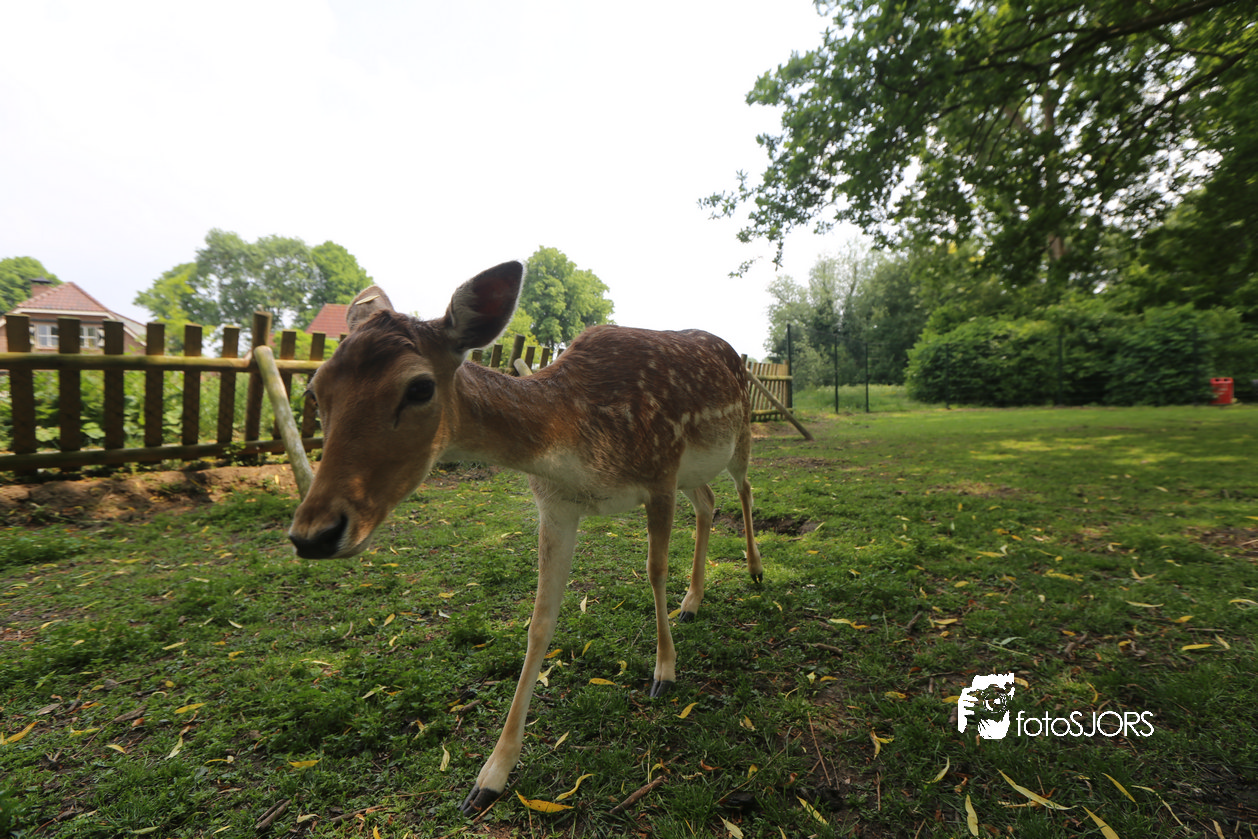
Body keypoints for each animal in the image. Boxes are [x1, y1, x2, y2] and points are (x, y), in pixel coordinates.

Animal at [287, 260, 763, 815]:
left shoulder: (660, 474)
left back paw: (755, 572)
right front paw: (489, 777)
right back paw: (694, 601)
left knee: (745, 490)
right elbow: (539, 621)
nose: (313, 533)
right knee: (708, 503)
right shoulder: (555, 505)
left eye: (419, 387)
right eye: (315, 391)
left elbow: (653, 571)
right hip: (695, 472)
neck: (579, 446)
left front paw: (663, 673)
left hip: (739, 436)